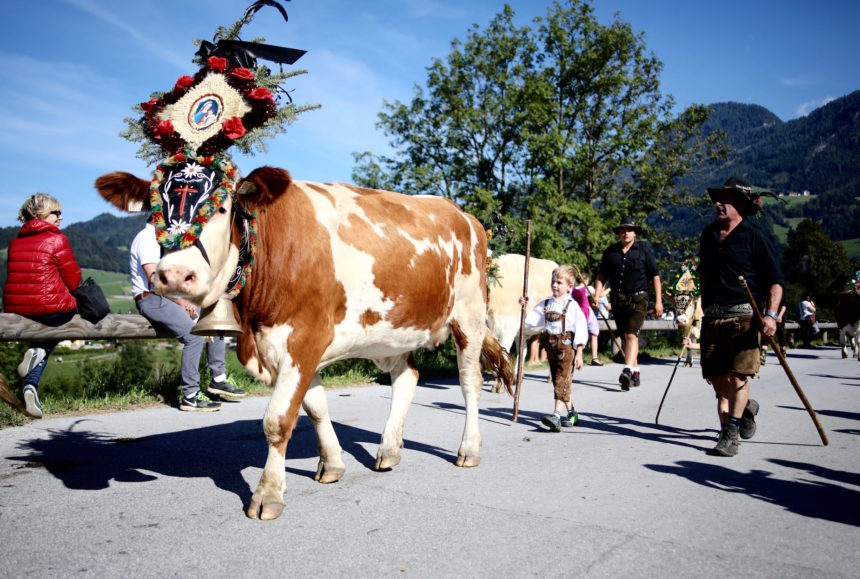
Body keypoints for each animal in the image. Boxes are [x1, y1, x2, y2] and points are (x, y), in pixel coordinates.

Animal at [95, 3, 510, 520]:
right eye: (154, 209)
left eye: (225, 207)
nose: (174, 275)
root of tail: (463, 214)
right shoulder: (293, 344)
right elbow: (314, 407)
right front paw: (332, 464)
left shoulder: (304, 336)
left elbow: (278, 419)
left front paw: (268, 494)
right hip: (392, 325)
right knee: (407, 377)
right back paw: (389, 449)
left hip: (469, 316)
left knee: (470, 382)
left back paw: (467, 449)